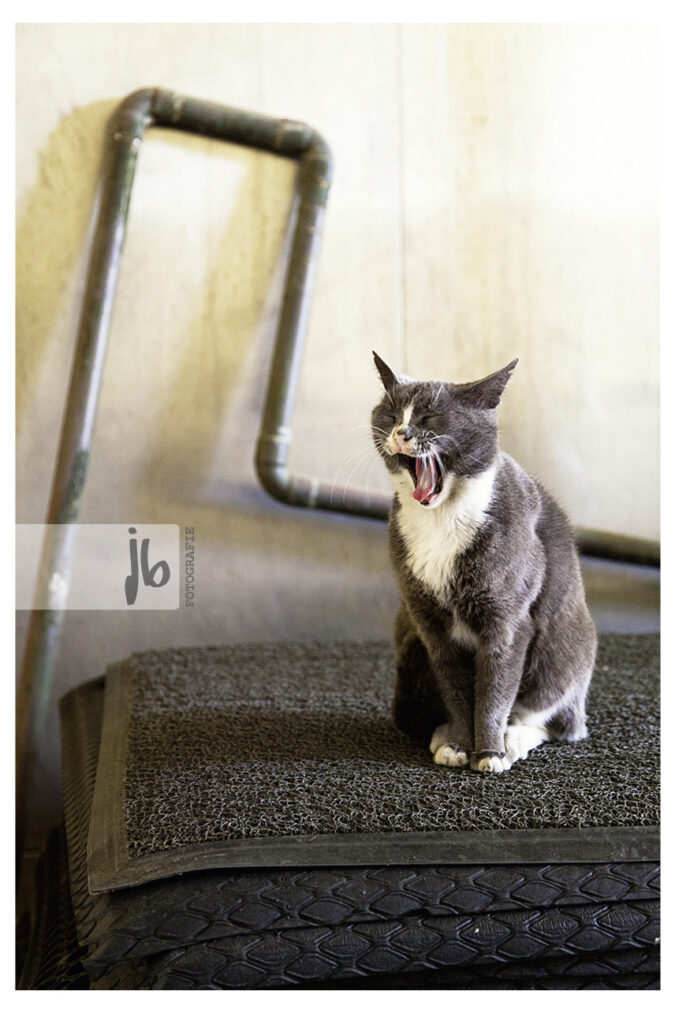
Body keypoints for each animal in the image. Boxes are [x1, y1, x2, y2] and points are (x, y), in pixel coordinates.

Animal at [372, 348, 598, 770]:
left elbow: (495, 692)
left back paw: (515, 738)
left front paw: (490, 752)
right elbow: (457, 691)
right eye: (391, 415)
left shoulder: (508, 621)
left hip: (564, 650)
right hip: (409, 660)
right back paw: (442, 733)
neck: (442, 518)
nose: (400, 433)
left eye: (430, 417)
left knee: (554, 717)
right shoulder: (430, 624)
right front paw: (459, 744)